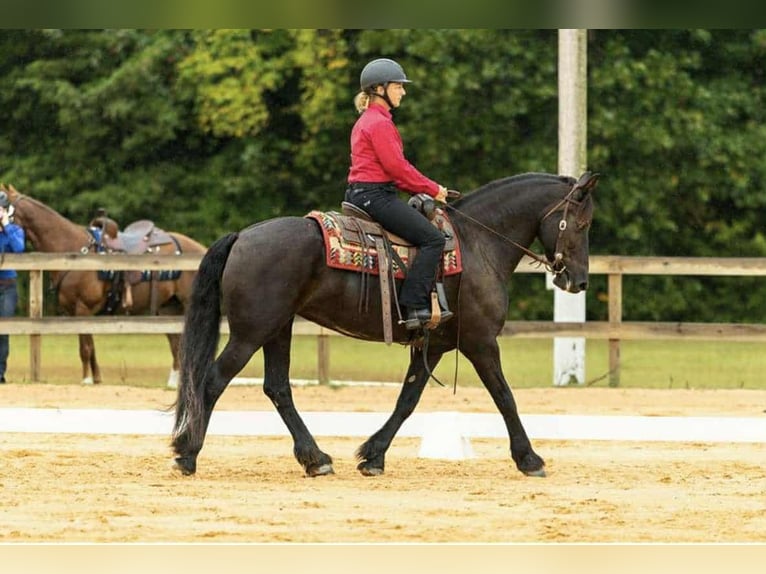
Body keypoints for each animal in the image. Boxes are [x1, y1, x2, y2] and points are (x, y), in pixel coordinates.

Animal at [1, 184, 207, 388]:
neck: (74, 251)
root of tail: (201, 249)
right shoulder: (75, 312)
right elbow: (90, 346)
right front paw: (96, 378)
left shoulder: (83, 308)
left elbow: (85, 347)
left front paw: (86, 379)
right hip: (168, 307)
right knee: (177, 344)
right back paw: (173, 383)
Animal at [171, 171, 598, 478]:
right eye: (581, 223)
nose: (578, 281)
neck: (478, 244)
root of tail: (242, 236)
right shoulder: (481, 342)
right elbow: (505, 396)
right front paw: (529, 459)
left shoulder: (434, 344)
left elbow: (407, 399)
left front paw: (373, 456)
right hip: (251, 332)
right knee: (212, 380)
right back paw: (187, 453)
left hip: (278, 328)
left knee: (277, 388)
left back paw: (315, 458)